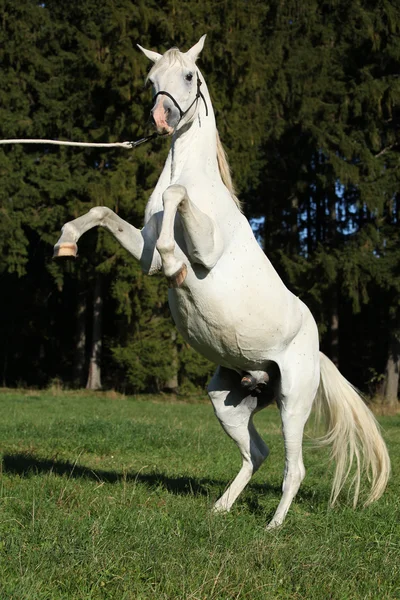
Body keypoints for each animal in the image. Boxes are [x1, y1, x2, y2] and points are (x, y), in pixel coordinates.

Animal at [52, 35, 388, 528]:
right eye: (150, 80)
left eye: (189, 75)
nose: (161, 119)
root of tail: (316, 348)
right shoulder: (144, 258)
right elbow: (103, 212)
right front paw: (66, 243)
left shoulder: (204, 249)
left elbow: (177, 199)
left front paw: (178, 267)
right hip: (227, 401)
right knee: (257, 453)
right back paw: (220, 509)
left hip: (293, 403)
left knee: (294, 468)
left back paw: (271, 528)